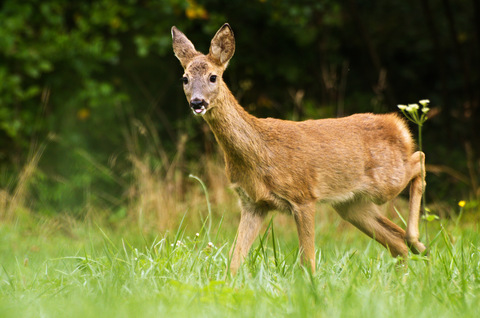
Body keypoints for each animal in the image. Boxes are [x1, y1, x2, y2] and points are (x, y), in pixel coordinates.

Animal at [171, 23, 426, 274]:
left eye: (213, 77)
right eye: (184, 78)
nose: (197, 102)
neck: (259, 152)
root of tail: (397, 126)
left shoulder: (303, 196)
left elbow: (308, 262)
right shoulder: (253, 203)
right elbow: (234, 262)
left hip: (385, 182)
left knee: (419, 160)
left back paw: (416, 240)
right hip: (351, 204)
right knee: (396, 243)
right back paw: (416, 256)